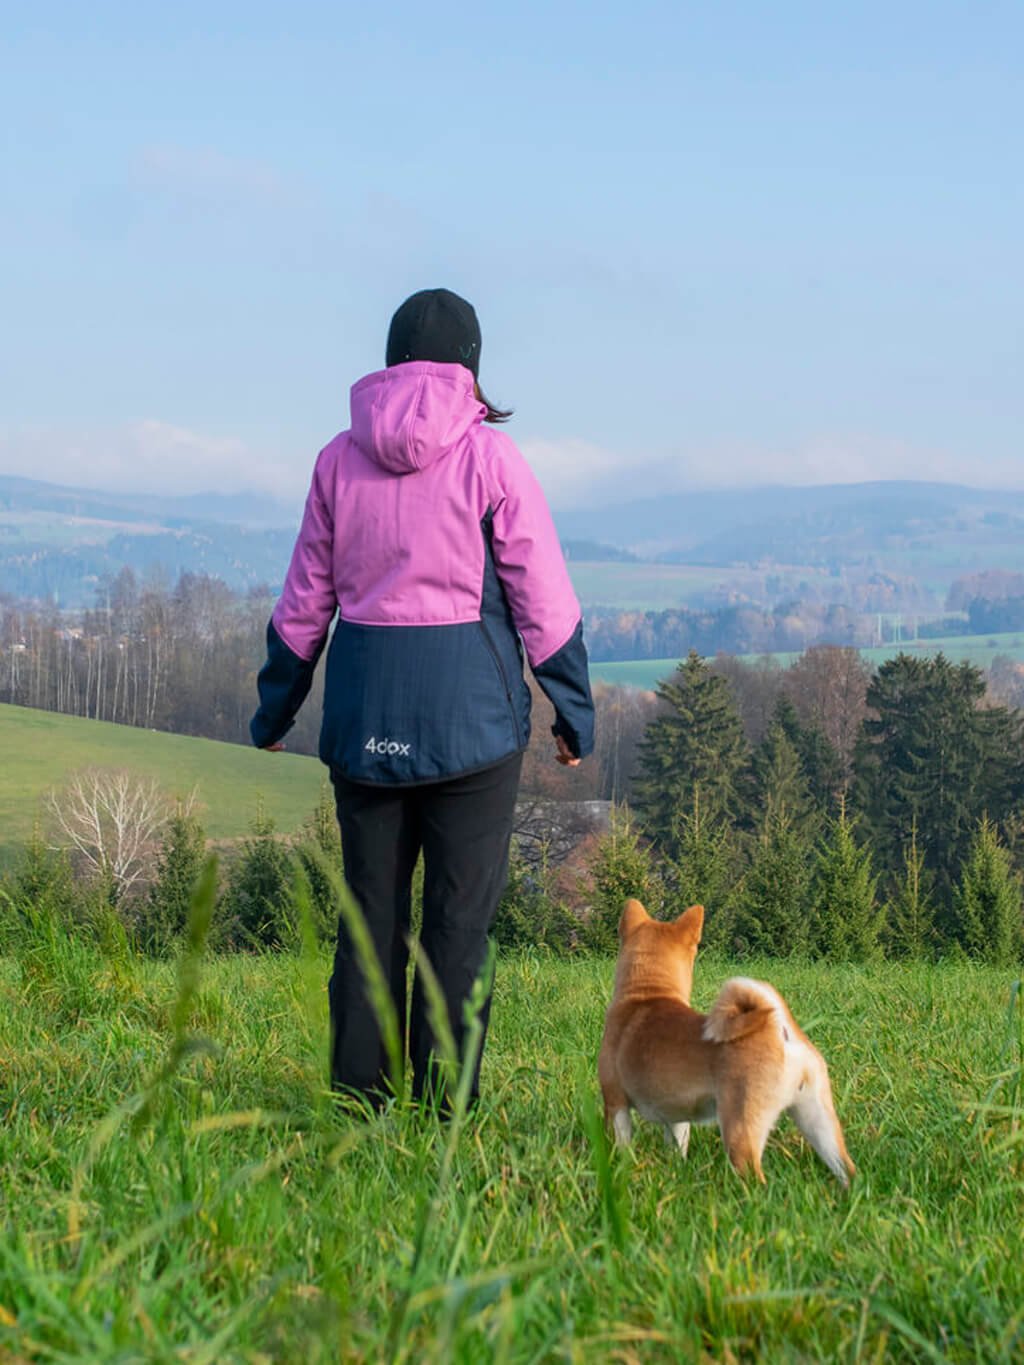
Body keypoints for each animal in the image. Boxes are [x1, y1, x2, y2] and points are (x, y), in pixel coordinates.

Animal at [598, 895, 851, 1184]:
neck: (646, 993)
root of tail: (779, 1030)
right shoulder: (677, 1116)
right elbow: (677, 1147)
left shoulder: (616, 1104)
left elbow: (620, 1146)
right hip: (818, 1123)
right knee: (846, 1169)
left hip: (740, 1130)